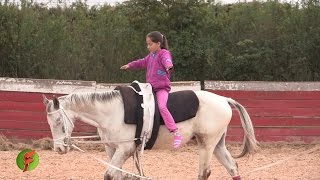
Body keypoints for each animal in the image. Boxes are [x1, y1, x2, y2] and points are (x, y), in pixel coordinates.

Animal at [43, 89, 258, 179]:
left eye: (58, 120)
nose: (59, 149)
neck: (112, 111)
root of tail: (223, 99)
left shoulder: (125, 149)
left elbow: (110, 175)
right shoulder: (111, 149)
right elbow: (118, 175)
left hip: (206, 144)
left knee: (204, 173)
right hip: (217, 144)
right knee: (232, 167)